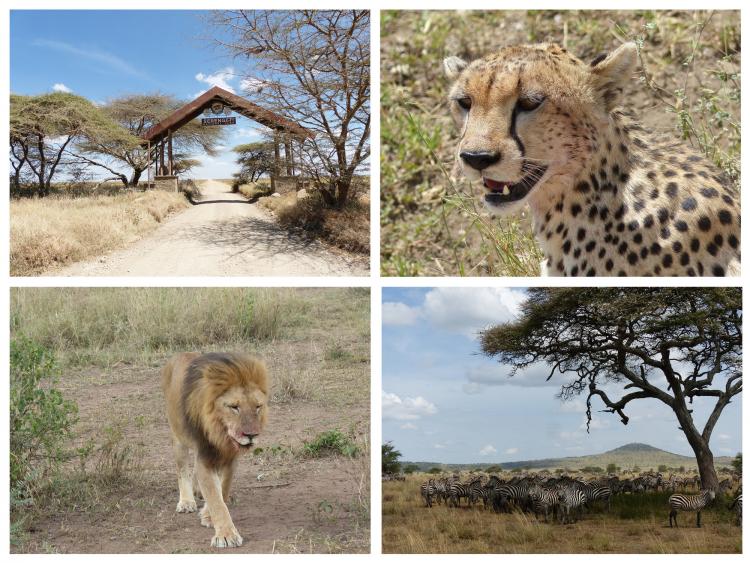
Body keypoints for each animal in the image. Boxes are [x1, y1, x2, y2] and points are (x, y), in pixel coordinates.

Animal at [162, 354, 270, 548]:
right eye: (234, 407)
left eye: (258, 406)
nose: (251, 435)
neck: (222, 435)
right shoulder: (205, 456)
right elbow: (215, 497)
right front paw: (226, 535)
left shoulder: (230, 458)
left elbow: (223, 488)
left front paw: (208, 516)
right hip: (178, 437)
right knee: (182, 470)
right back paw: (186, 501)